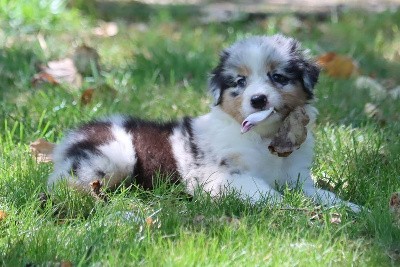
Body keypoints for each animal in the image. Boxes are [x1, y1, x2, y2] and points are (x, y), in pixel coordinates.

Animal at [47, 34, 362, 213]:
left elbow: (321, 194)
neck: (264, 138)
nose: (258, 100)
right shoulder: (224, 177)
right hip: (113, 158)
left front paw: (352, 208)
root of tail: (75, 136)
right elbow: (263, 191)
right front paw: (287, 208)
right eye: (240, 82)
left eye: (278, 77)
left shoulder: (296, 177)